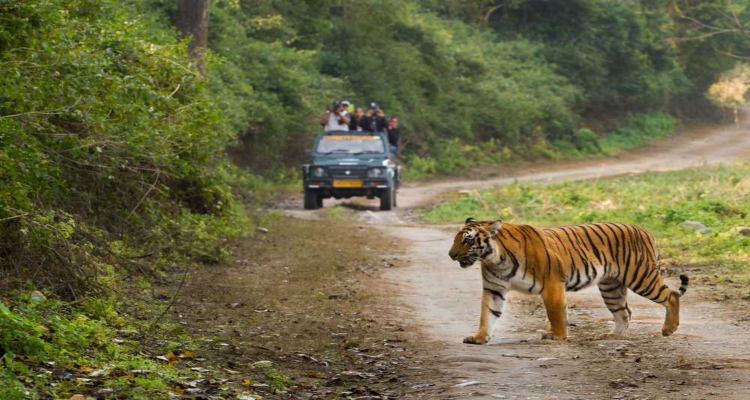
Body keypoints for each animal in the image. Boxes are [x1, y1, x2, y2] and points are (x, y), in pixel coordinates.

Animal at [448, 218, 689, 345]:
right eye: (456, 239)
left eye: (468, 240)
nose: (451, 255)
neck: (495, 259)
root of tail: (645, 231)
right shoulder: (494, 288)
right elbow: (487, 313)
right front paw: (479, 337)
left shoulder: (552, 283)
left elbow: (555, 312)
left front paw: (557, 335)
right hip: (611, 286)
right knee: (624, 312)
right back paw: (611, 336)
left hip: (641, 276)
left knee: (671, 295)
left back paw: (669, 329)